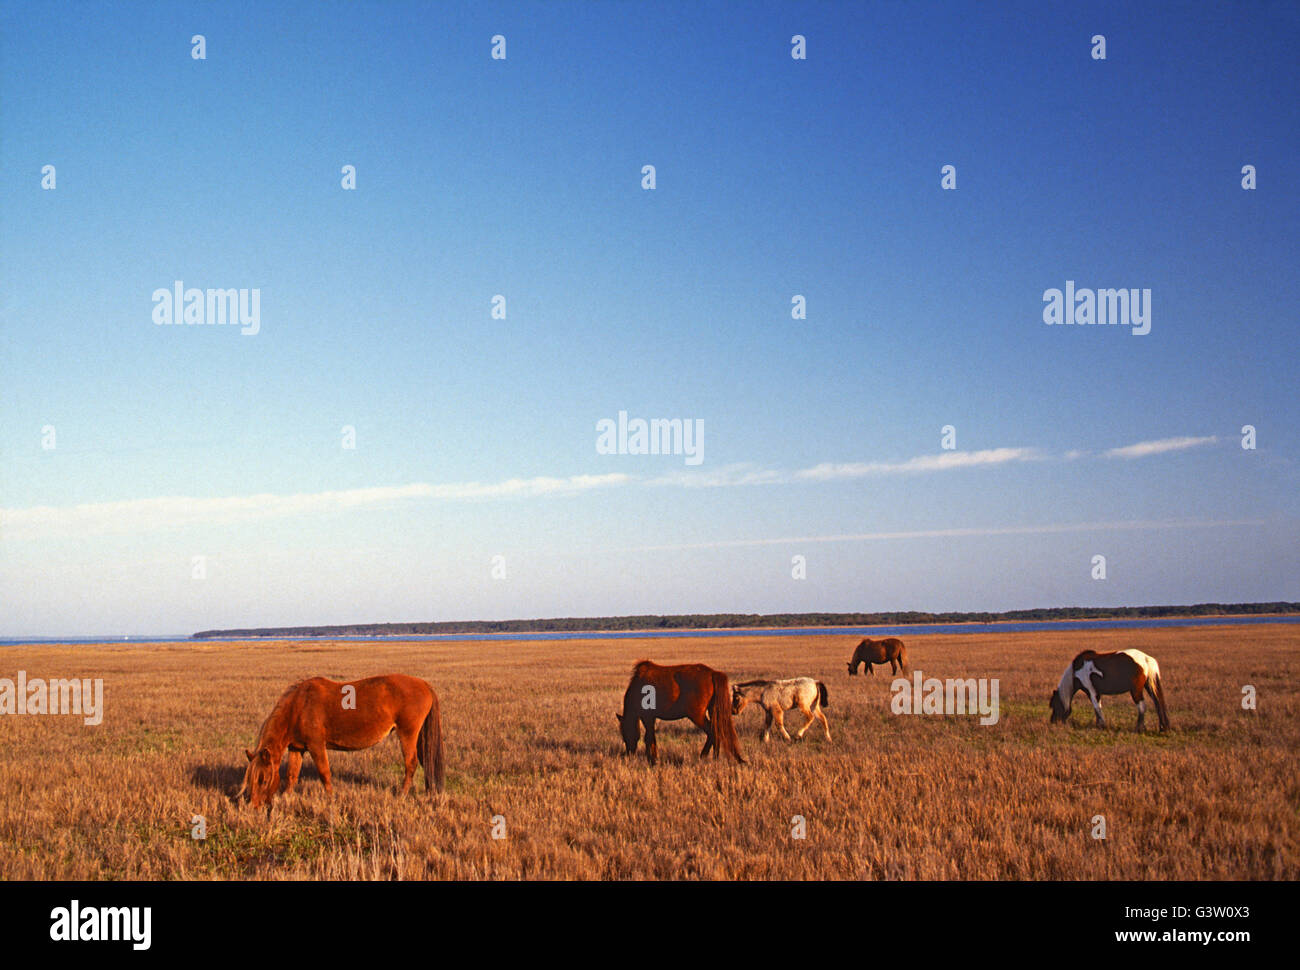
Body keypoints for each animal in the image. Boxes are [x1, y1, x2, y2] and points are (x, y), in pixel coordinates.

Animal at [237, 674, 445, 808]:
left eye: (263, 780)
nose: (253, 807)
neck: (299, 706)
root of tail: (424, 684)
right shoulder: (297, 748)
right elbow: (291, 775)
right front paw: (287, 798)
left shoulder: (316, 746)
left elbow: (324, 773)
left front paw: (331, 799)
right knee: (425, 762)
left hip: (407, 734)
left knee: (411, 763)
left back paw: (402, 794)